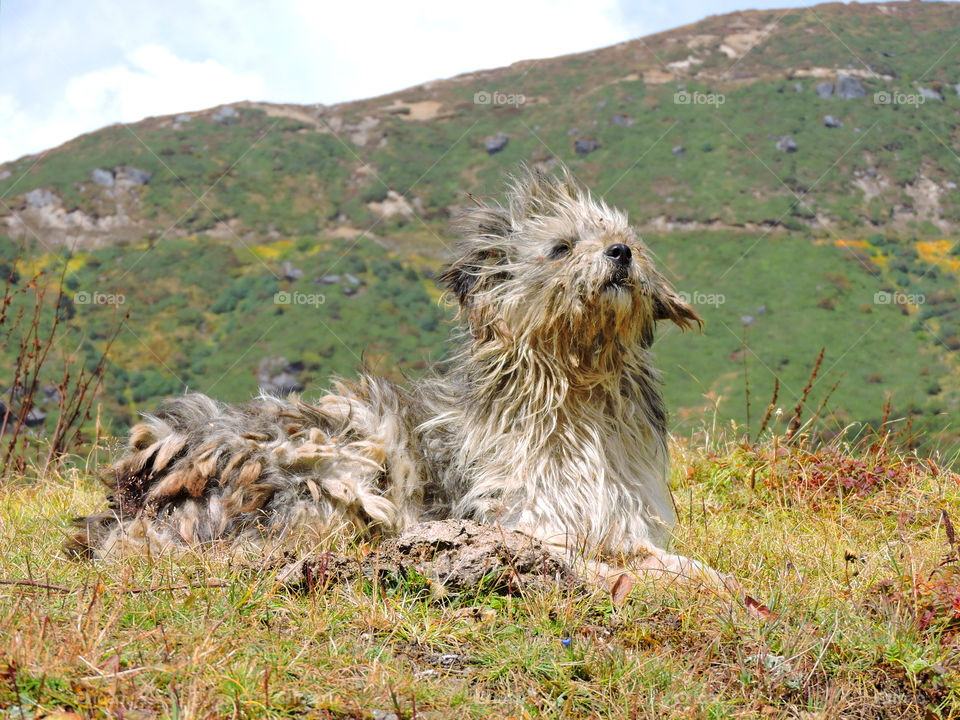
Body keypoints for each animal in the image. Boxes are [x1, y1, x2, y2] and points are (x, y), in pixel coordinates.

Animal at [73, 169, 720, 584]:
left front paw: (701, 576)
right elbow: (592, 561)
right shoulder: (525, 518)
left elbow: (664, 558)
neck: (575, 385)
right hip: (336, 462)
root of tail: (135, 490)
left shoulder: (618, 514)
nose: (620, 254)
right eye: (561, 248)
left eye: (628, 240)